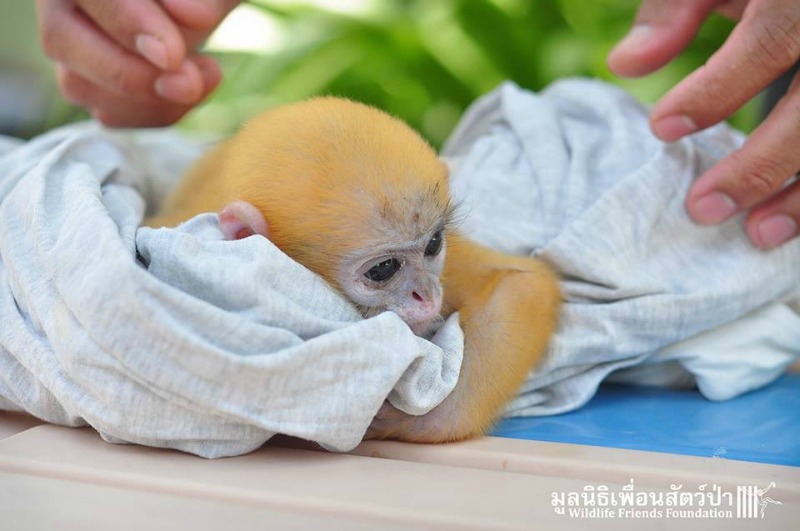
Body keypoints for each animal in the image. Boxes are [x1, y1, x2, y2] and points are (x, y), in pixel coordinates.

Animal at [147, 97, 560, 442]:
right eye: (383, 269)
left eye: (432, 245)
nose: (426, 294)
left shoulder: (450, 264)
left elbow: (524, 284)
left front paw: (428, 421)